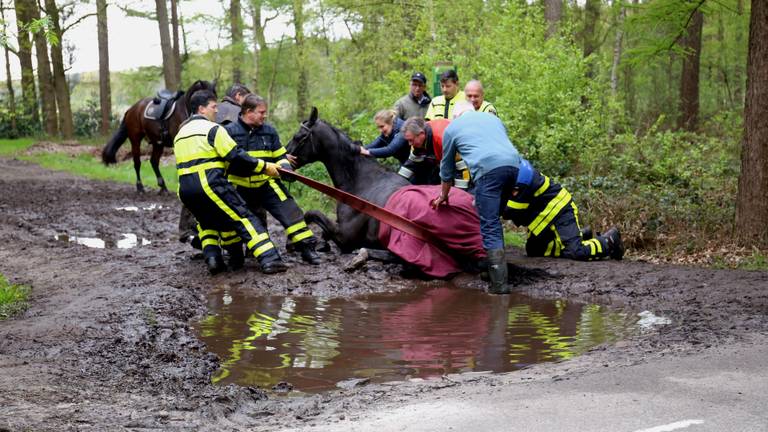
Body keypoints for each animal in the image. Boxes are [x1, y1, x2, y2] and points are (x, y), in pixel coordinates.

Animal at [286, 107, 408, 253]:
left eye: (298, 137)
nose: (284, 156)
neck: (360, 182)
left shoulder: (345, 236)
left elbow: (311, 214)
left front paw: (292, 242)